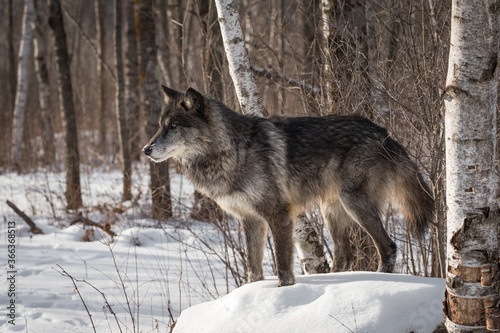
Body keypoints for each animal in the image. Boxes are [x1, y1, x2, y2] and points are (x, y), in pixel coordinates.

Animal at [142, 85, 434, 286]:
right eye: (160, 126)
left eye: (174, 125)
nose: (145, 149)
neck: (231, 151)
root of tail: (384, 133)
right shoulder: (250, 220)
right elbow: (254, 268)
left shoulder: (278, 214)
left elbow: (283, 265)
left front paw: (284, 291)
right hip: (332, 211)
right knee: (344, 256)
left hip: (355, 204)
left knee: (388, 247)